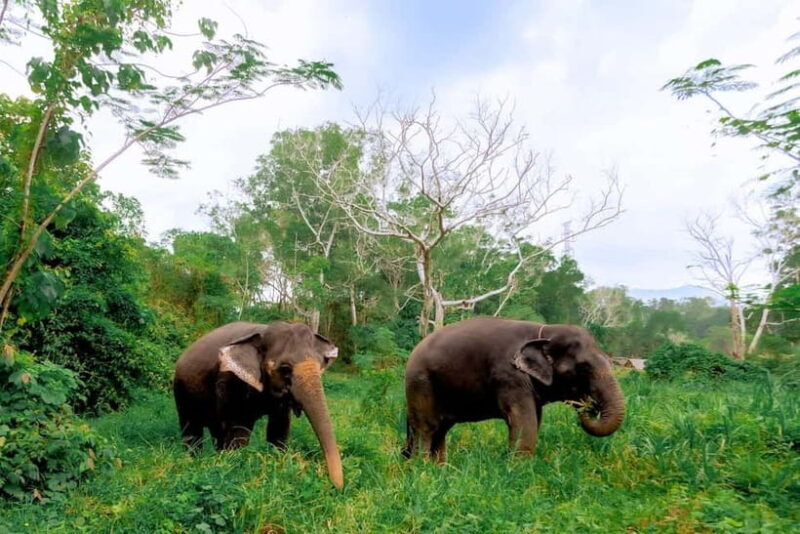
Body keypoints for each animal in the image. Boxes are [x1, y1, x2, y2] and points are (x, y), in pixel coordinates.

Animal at [173, 321, 343, 489]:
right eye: (285, 369)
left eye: (320, 365)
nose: (336, 487)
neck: (264, 331)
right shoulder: (232, 381)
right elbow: (239, 428)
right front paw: (235, 467)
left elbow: (279, 427)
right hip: (182, 392)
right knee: (193, 430)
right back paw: (194, 460)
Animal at [403, 317, 625, 462]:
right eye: (583, 367)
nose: (590, 405)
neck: (544, 332)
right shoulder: (509, 375)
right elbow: (524, 421)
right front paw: (519, 470)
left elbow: (535, 419)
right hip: (420, 383)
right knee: (427, 427)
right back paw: (422, 469)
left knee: (441, 429)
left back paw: (439, 469)